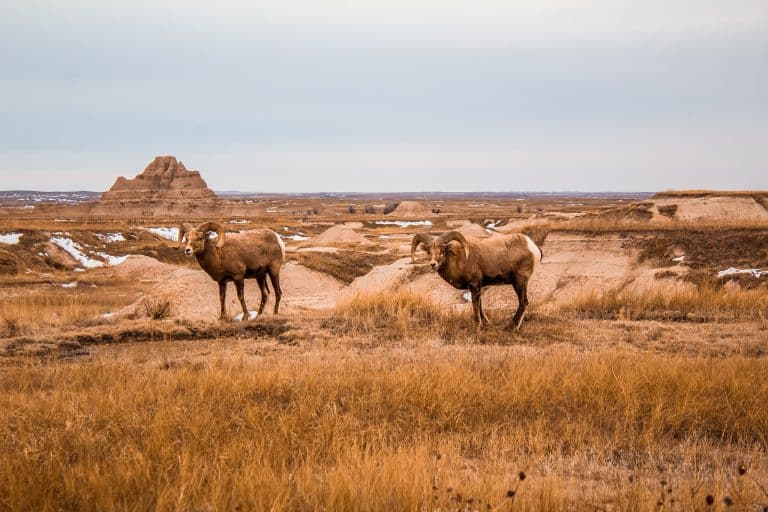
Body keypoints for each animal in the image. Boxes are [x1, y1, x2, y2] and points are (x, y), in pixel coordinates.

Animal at [412, 231, 544, 330]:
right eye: (429, 252)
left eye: (442, 251)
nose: (433, 264)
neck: (459, 259)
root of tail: (532, 247)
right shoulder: (477, 287)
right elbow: (480, 305)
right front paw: (486, 323)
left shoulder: (474, 285)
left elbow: (475, 305)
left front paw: (478, 326)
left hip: (519, 281)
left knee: (523, 302)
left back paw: (513, 326)